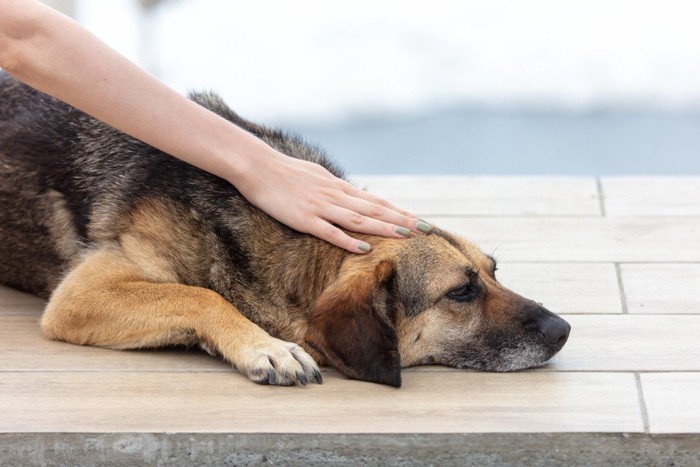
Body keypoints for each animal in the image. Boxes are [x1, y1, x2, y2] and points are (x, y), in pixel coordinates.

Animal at [0, 72, 568, 388]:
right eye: (461, 292)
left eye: (494, 273)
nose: (563, 329)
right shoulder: (81, 294)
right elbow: (199, 295)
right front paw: (264, 345)